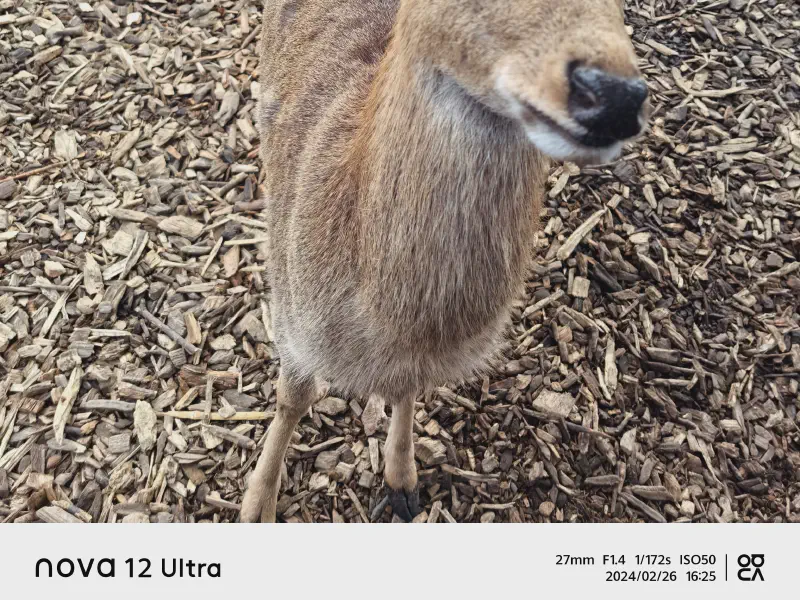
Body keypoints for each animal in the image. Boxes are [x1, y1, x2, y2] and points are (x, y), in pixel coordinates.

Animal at [241, 0, 649, 523]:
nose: (617, 98)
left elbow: (407, 390)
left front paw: (403, 482)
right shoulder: (291, 309)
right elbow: (293, 397)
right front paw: (256, 506)